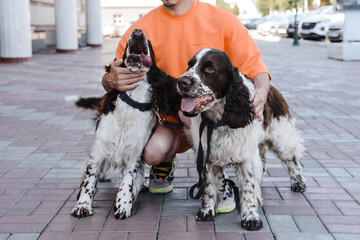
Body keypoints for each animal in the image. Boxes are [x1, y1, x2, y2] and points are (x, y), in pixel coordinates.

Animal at [176, 48, 306, 231]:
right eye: (189, 65)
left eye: (210, 68)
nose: (181, 81)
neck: (221, 120)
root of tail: (273, 88)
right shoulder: (208, 155)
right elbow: (209, 187)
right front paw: (207, 210)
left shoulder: (246, 158)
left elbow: (248, 189)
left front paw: (251, 217)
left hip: (280, 137)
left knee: (292, 160)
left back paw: (298, 183)